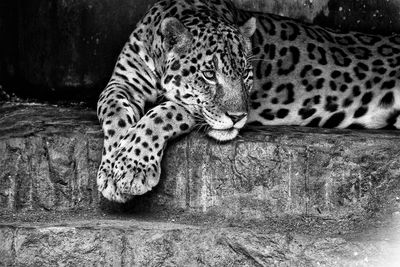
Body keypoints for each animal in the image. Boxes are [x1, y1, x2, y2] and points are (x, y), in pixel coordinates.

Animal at [97, 0, 400, 203]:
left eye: (245, 74)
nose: (238, 117)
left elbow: (163, 113)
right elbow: (113, 113)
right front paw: (115, 166)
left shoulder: (189, 107)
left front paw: (129, 166)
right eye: (209, 74)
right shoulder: (122, 83)